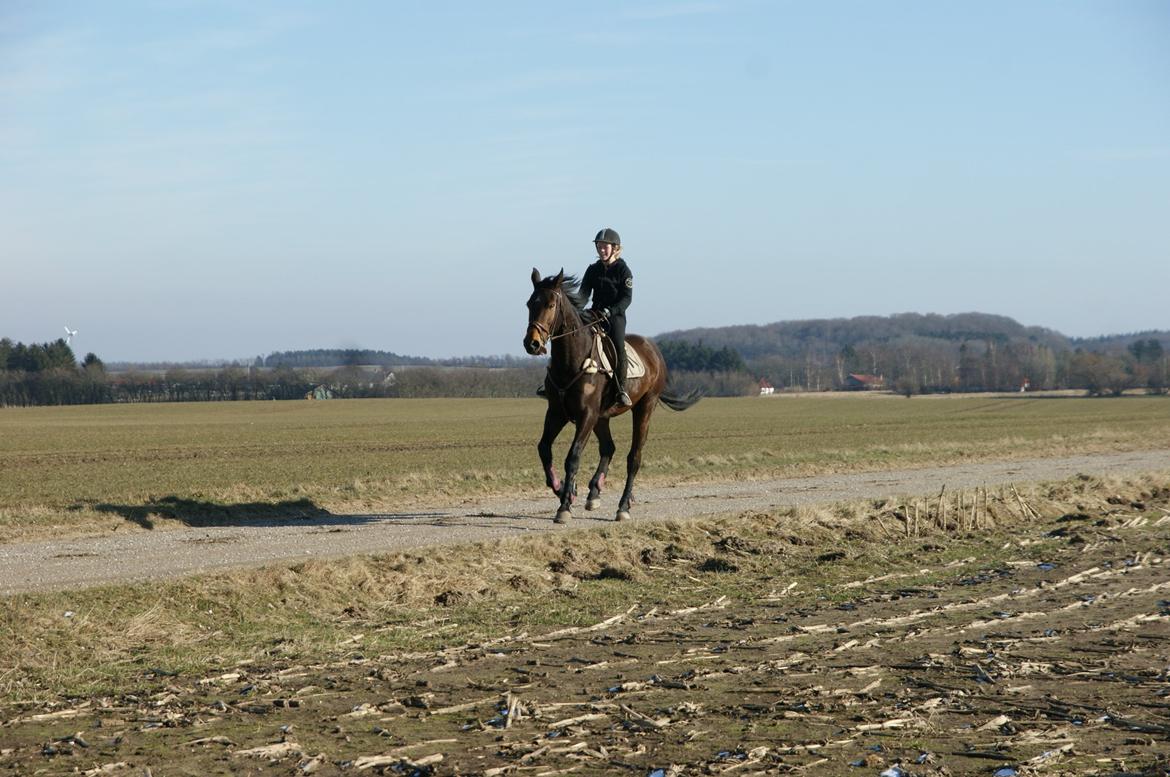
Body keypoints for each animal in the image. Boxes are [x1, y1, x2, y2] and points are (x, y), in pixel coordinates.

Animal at [523, 268, 701, 523]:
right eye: (530, 303)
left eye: (550, 305)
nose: (532, 343)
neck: (571, 360)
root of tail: (654, 351)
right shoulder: (557, 413)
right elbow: (544, 448)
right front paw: (563, 489)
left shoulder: (586, 415)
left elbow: (573, 456)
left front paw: (565, 505)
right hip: (602, 417)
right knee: (609, 448)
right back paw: (594, 492)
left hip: (644, 407)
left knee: (633, 457)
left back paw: (623, 506)